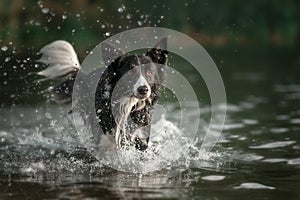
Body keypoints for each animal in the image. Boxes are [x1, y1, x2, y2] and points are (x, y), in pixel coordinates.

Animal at [36, 37, 168, 151]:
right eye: (129, 73)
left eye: (150, 72)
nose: (143, 89)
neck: (129, 105)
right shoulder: (104, 139)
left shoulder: (140, 137)